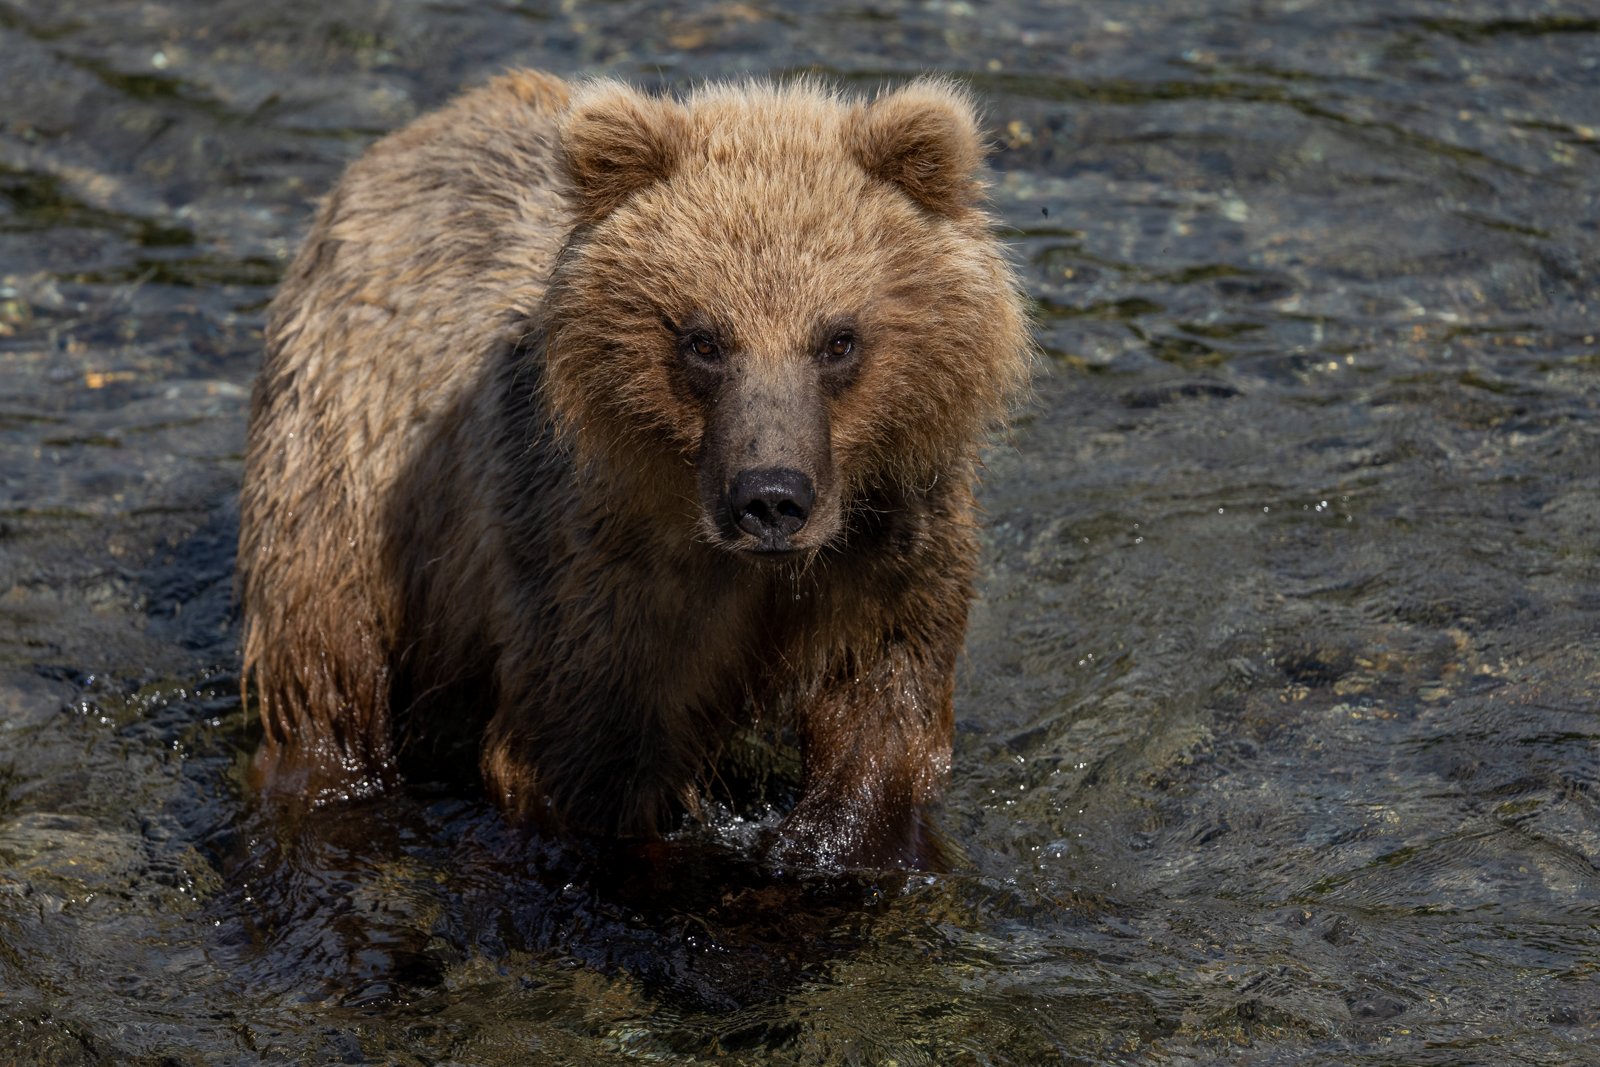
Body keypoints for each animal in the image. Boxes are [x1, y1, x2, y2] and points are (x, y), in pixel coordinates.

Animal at [243, 68, 1030, 870]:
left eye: (838, 338)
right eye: (704, 339)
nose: (770, 497)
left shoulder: (887, 552)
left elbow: (882, 714)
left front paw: (825, 842)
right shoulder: (603, 576)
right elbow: (584, 758)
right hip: (347, 456)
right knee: (326, 660)